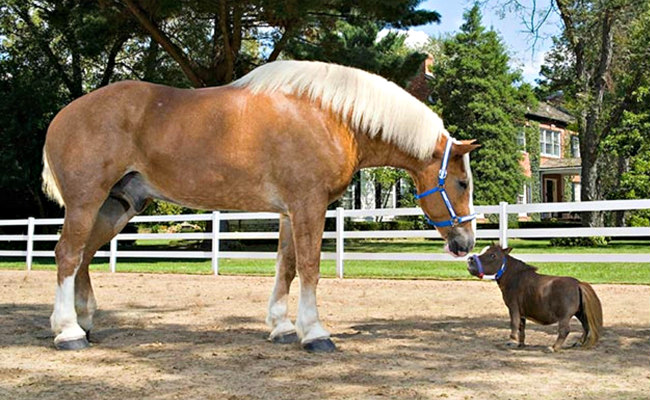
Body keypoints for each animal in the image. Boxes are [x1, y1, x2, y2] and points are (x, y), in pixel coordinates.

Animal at [42, 60, 479, 352]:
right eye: (462, 182)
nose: (466, 243)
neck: (332, 117)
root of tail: (63, 116)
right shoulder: (308, 205)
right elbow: (309, 267)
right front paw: (314, 332)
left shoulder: (290, 211)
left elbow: (286, 267)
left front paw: (283, 327)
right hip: (85, 202)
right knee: (68, 254)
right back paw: (68, 332)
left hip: (119, 205)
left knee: (85, 254)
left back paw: (84, 322)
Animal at [467, 245, 603, 352]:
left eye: (492, 255)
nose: (470, 260)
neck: (514, 278)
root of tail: (578, 284)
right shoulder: (521, 312)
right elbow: (521, 327)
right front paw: (520, 343)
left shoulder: (513, 307)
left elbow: (514, 323)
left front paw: (511, 341)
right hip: (579, 313)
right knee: (586, 326)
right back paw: (578, 343)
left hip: (564, 316)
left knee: (565, 330)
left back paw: (554, 347)